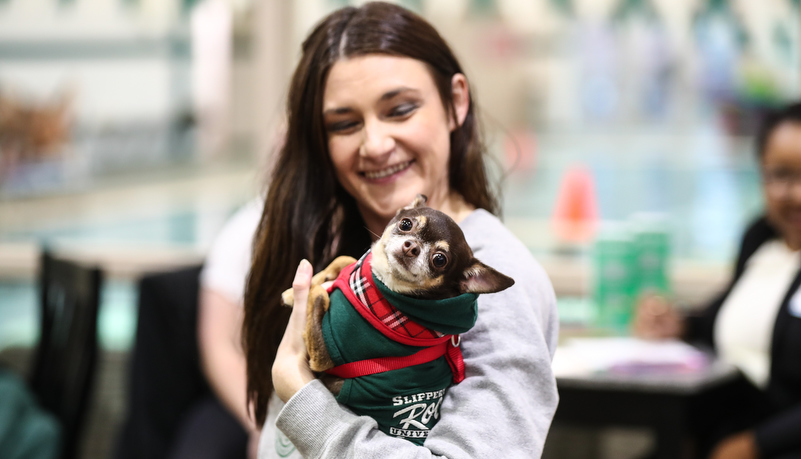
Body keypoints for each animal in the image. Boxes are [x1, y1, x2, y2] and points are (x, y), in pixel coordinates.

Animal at [284, 196, 516, 444]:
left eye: (439, 259)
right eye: (406, 224)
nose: (412, 247)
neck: (386, 287)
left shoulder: (324, 358)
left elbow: (318, 294)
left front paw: (297, 292)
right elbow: (344, 259)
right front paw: (300, 287)